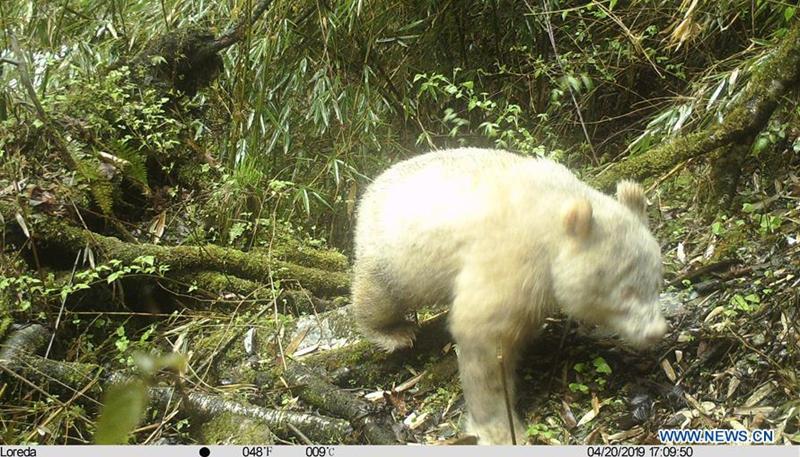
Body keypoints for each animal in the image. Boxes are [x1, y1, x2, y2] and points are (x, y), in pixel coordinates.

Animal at [351, 147, 667, 444]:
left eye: (656, 282)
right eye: (625, 291)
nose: (656, 331)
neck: (553, 216)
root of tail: (370, 189)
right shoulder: (511, 257)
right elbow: (482, 335)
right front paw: (499, 429)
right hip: (392, 254)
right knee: (379, 295)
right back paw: (394, 332)